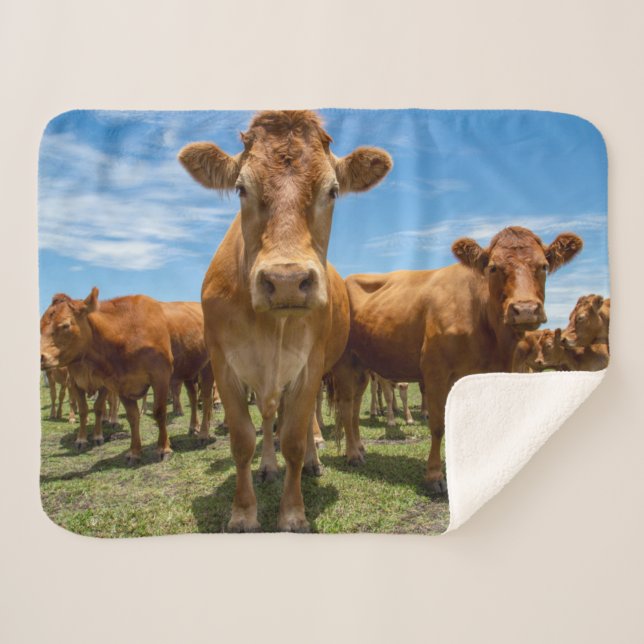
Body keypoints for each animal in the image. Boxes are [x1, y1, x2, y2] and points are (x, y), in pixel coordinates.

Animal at [40, 290, 174, 464]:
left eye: (65, 325)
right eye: (40, 325)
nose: (40, 356)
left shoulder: (160, 377)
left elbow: (159, 411)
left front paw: (164, 448)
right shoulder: (111, 383)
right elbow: (128, 416)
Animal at [179, 109, 392, 532]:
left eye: (332, 191)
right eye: (241, 189)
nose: (287, 281)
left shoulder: (309, 365)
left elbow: (292, 437)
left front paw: (293, 512)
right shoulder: (224, 365)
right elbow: (244, 438)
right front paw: (243, 512)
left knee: (304, 421)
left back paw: (313, 460)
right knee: (268, 417)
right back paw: (268, 467)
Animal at [332, 226, 582, 492]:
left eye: (543, 266)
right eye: (493, 267)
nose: (525, 310)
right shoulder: (436, 371)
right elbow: (438, 424)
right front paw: (434, 476)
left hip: (361, 365)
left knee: (355, 405)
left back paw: (359, 448)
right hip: (345, 362)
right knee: (346, 406)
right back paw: (353, 455)